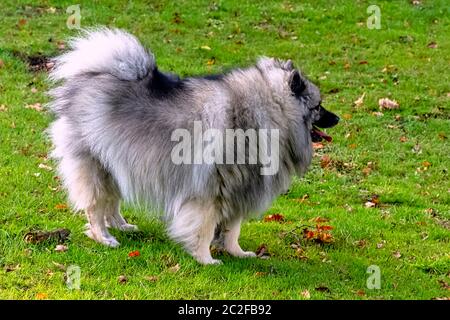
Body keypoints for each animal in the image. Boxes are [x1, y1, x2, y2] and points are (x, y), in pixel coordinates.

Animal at [47, 28, 340, 264]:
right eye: (318, 106)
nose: (337, 118)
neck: (264, 114)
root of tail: (89, 77)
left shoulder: (238, 189)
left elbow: (232, 230)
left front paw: (237, 253)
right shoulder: (210, 192)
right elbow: (204, 229)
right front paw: (205, 259)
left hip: (117, 165)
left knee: (112, 203)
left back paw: (122, 225)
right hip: (96, 167)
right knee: (96, 207)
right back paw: (104, 237)